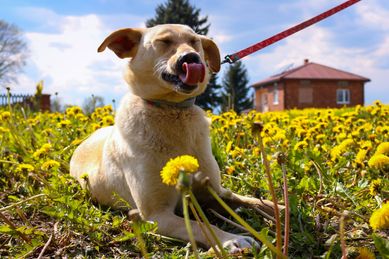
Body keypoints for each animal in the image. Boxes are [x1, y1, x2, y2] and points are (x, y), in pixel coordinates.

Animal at [69, 23, 276, 255]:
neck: (171, 109)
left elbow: (256, 202)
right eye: (164, 41)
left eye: (195, 42)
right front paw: (232, 239)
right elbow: (201, 225)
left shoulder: (217, 192)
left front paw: (283, 209)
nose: (192, 58)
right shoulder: (157, 215)